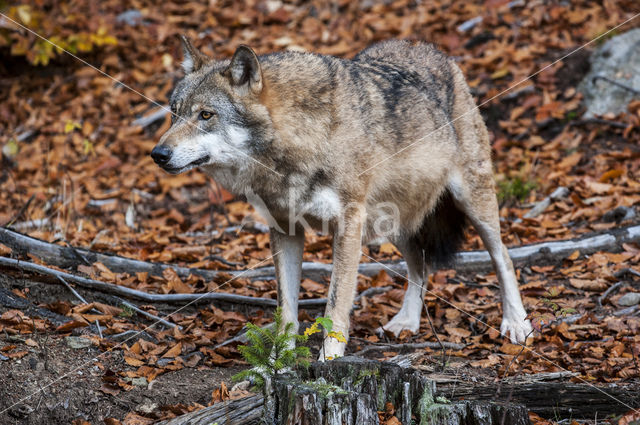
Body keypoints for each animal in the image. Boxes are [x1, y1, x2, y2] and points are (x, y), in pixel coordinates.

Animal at [152, 37, 532, 358]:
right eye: (174, 112)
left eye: (206, 115)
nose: (158, 154)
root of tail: (432, 49)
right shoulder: (285, 230)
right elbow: (286, 310)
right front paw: (276, 364)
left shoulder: (348, 225)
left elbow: (335, 306)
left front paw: (327, 363)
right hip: (392, 221)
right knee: (420, 267)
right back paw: (406, 322)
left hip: (472, 203)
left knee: (503, 258)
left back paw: (517, 324)